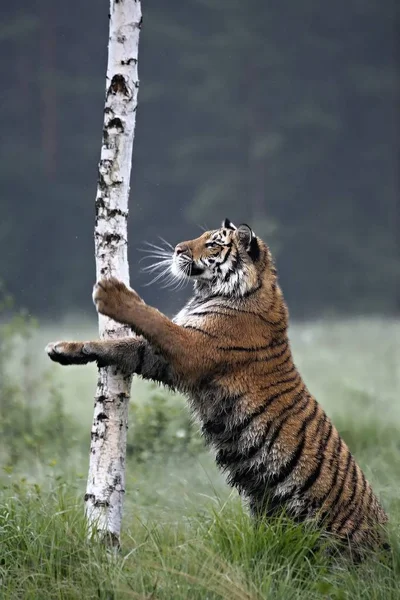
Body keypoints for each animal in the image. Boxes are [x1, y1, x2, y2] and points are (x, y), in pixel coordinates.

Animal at [46, 218, 388, 556]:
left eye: (213, 243)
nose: (177, 249)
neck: (216, 291)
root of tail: (386, 541)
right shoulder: (160, 358)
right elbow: (119, 345)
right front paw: (63, 348)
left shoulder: (191, 348)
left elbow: (155, 320)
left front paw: (112, 294)